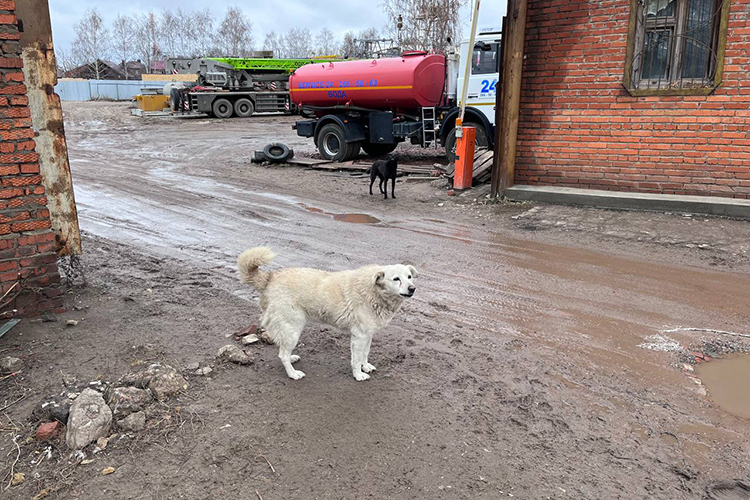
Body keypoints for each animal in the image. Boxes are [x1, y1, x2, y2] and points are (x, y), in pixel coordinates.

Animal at [236, 248, 418, 380]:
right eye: (396, 279)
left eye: (409, 277)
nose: (412, 288)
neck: (374, 290)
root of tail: (270, 277)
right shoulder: (359, 336)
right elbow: (356, 359)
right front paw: (358, 375)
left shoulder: (368, 334)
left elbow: (365, 354)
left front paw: (365, 366)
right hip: (293, 329)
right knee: (283, 355)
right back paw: (293, 374)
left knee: (283, 351)